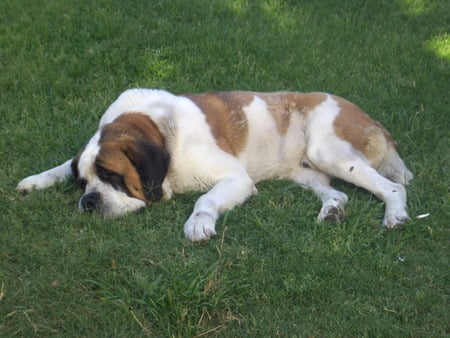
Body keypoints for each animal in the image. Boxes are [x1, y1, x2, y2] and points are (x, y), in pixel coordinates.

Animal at [17, 88, 414, 242]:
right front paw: (35, 181)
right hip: (305, 171)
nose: (88, 202)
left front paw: (198, 224)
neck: (160, 130)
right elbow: (61, 165)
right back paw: (331, 210)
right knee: (337, 193)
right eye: (83, 183)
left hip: (328, 150)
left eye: (111, 176)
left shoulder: (235, 179)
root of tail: (373, 120)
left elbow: (204, 199)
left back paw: (395, 215)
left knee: (394, 186)